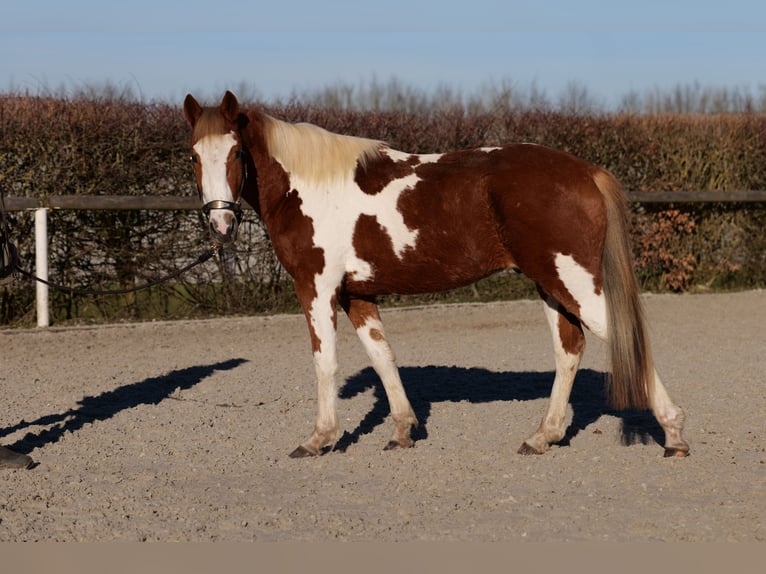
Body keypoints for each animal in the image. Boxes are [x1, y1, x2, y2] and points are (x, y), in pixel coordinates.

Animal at [184, 92, 688, 462]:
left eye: (235, 151)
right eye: (193, 156)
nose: (220, 223)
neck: (308, 187)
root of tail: (587, 171)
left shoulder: (317, 287)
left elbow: (324, 362)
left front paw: (319, 439)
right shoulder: (356, 295)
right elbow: (383, 357)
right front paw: (403, 431)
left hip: (573, 280)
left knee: (619, 339)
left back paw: (673, 433)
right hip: (551, 284)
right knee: (569, 350)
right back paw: (543, 436)